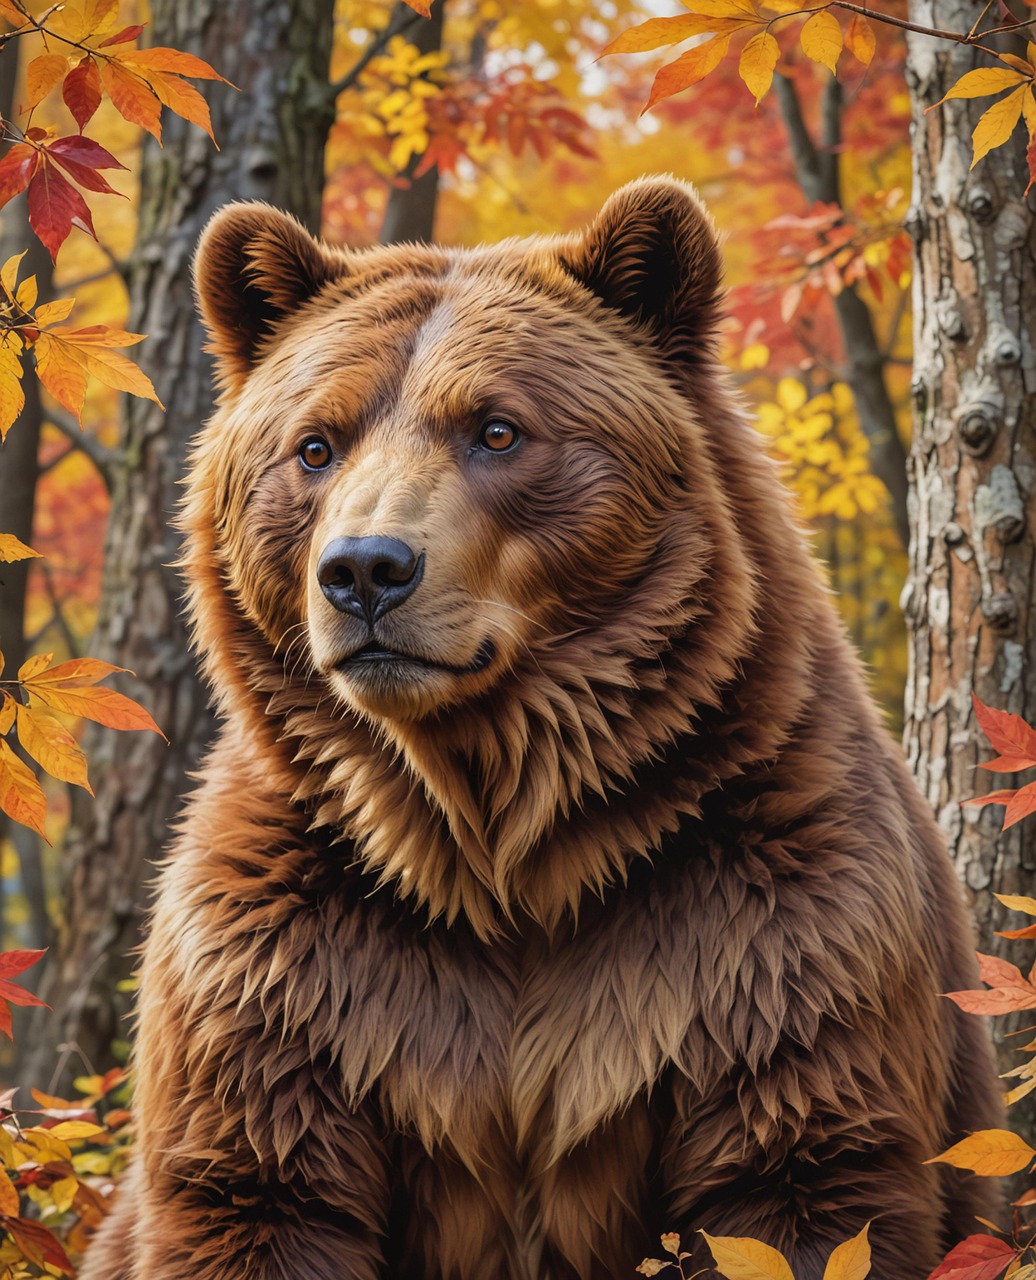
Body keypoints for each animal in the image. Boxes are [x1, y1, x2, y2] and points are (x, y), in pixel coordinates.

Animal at [79, 178, 1001, 1280]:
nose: (364, 570)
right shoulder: (295, 968)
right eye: (314, 444)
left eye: (497, 429)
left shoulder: (765, 928)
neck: (495, 844)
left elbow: (800, 1185)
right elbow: (258, 1191)